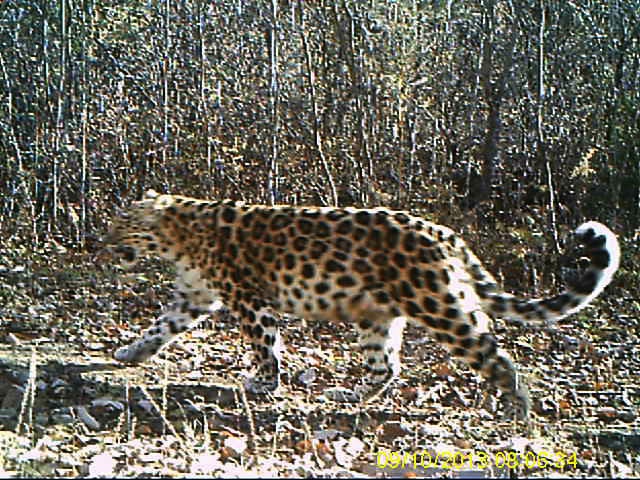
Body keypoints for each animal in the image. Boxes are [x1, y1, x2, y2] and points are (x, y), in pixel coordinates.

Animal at [106, 189, 620, 418]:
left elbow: (265, 344)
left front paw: (264, 382)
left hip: (439, 305)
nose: (98, 243)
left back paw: (519, 410)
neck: (178, 236)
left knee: (495, 356)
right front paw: (130, 352)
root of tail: (446, 234)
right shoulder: (194, 296)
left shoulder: (248, 299)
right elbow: (160, 327)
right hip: (378, 316)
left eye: (119, 226)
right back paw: (348, 395)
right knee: (386, 367)